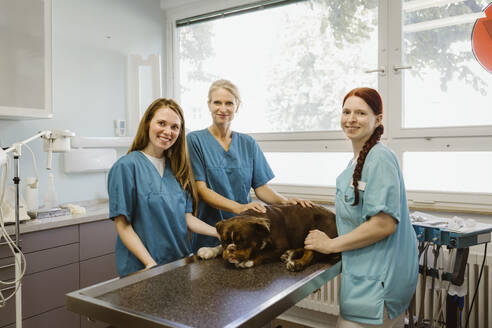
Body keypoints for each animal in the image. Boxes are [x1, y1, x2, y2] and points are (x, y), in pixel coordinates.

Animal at [196, 205, 338, 272]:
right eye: (224, 241)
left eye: (242, 241)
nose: (231, 249)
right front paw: (209, 250)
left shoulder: (280, 247)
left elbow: (263, 254)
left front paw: (247, 261)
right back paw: (290, 254)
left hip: (317, 233)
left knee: (311, 252)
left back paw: (297, 263)